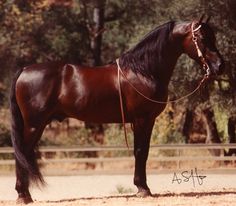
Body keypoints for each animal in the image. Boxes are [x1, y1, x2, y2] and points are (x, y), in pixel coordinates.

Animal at [10, 16, 225, 204]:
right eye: (202, 38)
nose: (220, 65)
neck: (143, 71)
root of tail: (24, 70)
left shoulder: (148, 121)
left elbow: (144, 151)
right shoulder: (141, 120)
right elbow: (140, 152)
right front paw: (143, 189)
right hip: (34, 125)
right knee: (22, 154)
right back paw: (23, 196)